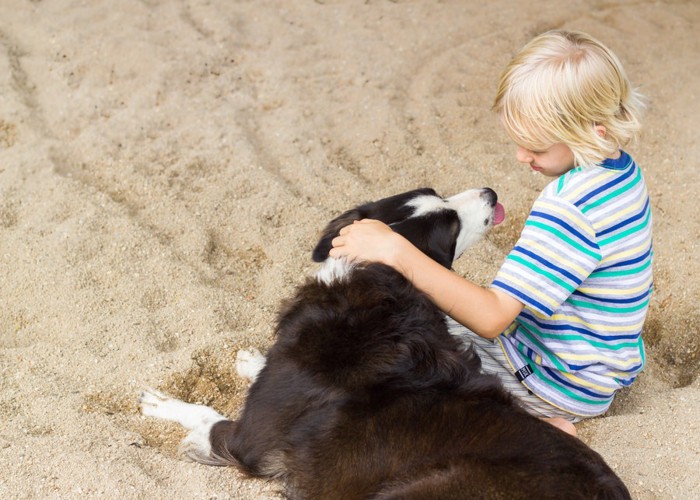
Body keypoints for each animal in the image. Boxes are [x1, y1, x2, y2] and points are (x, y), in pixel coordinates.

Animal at [139, 188, 632, 500]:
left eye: (451, 226)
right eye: (441, 205)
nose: (491, 193)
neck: (372, 283)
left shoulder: (252, 438)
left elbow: (209, 418)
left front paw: (165, 407)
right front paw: (251, 360)